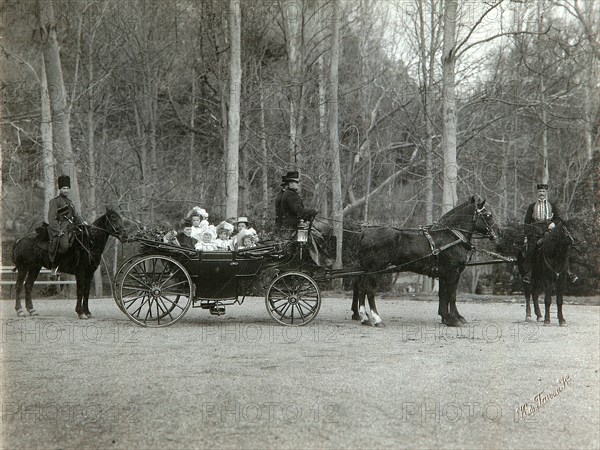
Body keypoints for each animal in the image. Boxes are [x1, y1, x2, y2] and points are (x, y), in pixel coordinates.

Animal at [352, 197, 496, 326]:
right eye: (488, 215)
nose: (494, 235)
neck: (452, 237)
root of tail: (365, 232)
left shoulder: (444, 274)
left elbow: (445, 295)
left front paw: (447, 318)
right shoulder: (453, 272)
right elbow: (451, 295)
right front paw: (453, 320)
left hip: (366, 269)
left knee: (361, 287)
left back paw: (364, 318)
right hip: (375, 269)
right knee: (370, 290)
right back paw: (377, 319)